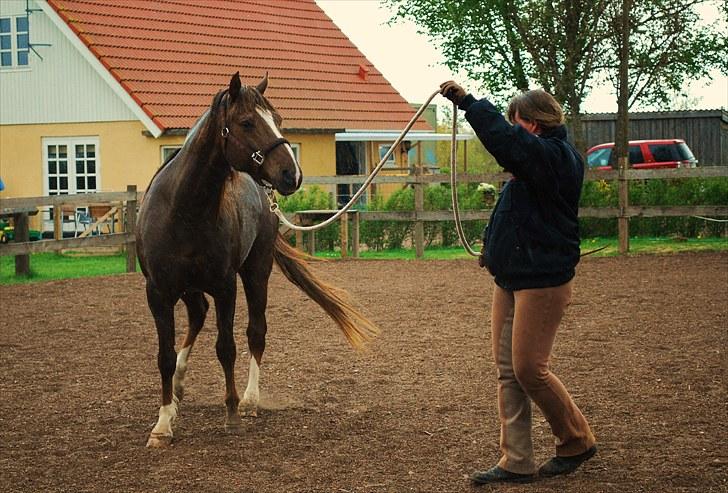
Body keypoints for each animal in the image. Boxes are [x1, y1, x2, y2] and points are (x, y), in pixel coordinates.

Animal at [136, 72, 378, 446]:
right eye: (247, 122)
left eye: (277, 119)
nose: (292, 174)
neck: (183, 210)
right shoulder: (158, 292)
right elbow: (164, 356)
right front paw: (162, 424)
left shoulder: (225, 287)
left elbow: (227, 347)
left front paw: (233, 413)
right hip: (190, 287)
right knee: (197, 315)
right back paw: (177, 389)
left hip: (255, 272)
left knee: (255, 331)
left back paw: (249, 400)